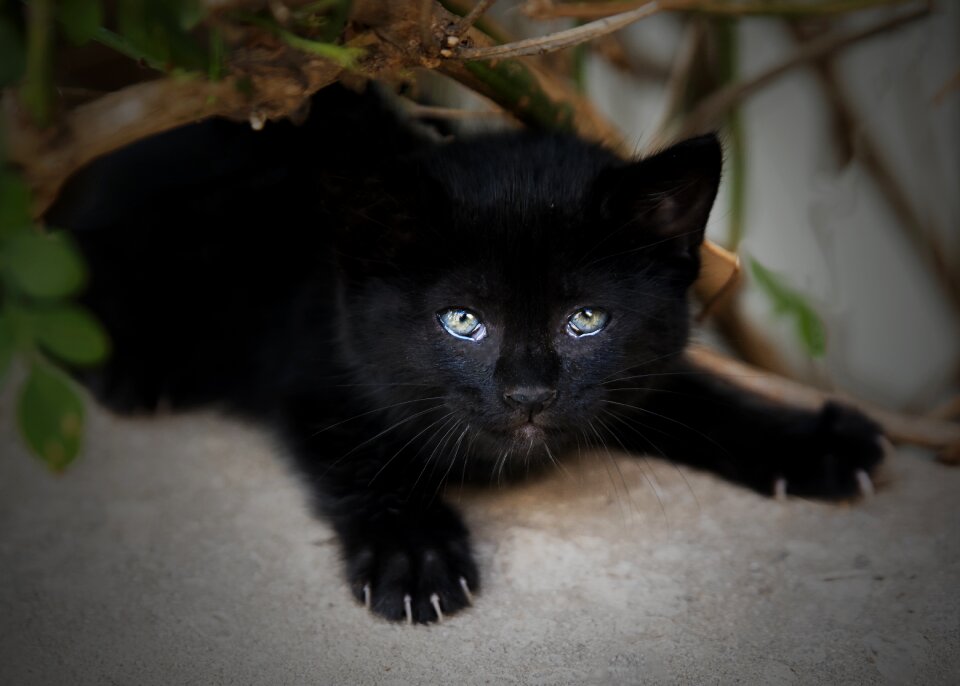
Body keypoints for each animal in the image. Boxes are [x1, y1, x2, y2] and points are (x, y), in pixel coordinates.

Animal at [48, 83, 880, 628]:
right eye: (463, 321)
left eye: (585, 320)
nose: (527, 395)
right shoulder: (313, 374)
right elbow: (366, 458)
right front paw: (413, 552)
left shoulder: (632, 369)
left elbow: (696, 396)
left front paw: (815, 441)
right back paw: (132, 368)